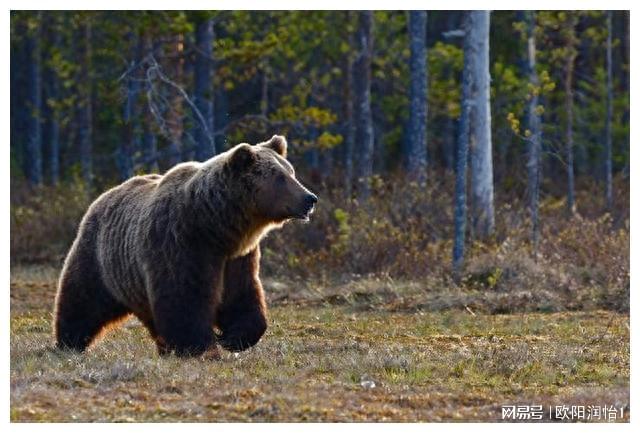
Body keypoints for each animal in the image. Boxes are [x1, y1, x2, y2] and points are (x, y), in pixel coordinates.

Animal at [52, 137, 318, 356]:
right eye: (280, 177)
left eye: (291, 172)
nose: (310, 198)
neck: (216, 227)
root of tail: (103, 196)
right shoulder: (181, 243)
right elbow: (184, 297)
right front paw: (199, 346)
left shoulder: (237, 257)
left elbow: (241, 295)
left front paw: (232, 338)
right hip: (100, 258)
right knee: (82, 298)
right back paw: (69, 341)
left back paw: (163, 347)